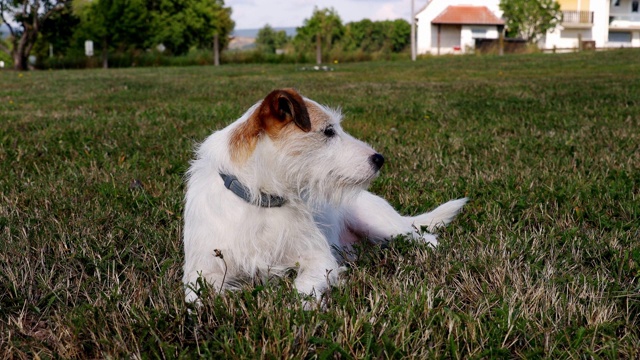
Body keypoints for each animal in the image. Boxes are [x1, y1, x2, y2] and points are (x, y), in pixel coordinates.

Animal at [182, 89, 468, 304]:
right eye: (329, 131)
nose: (379, 159)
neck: (261, 200)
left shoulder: (318, 258)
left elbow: (302, 287)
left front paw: (306, 309)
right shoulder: (200, 272)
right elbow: (195, 300)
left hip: (384, 227)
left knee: (423, 236)